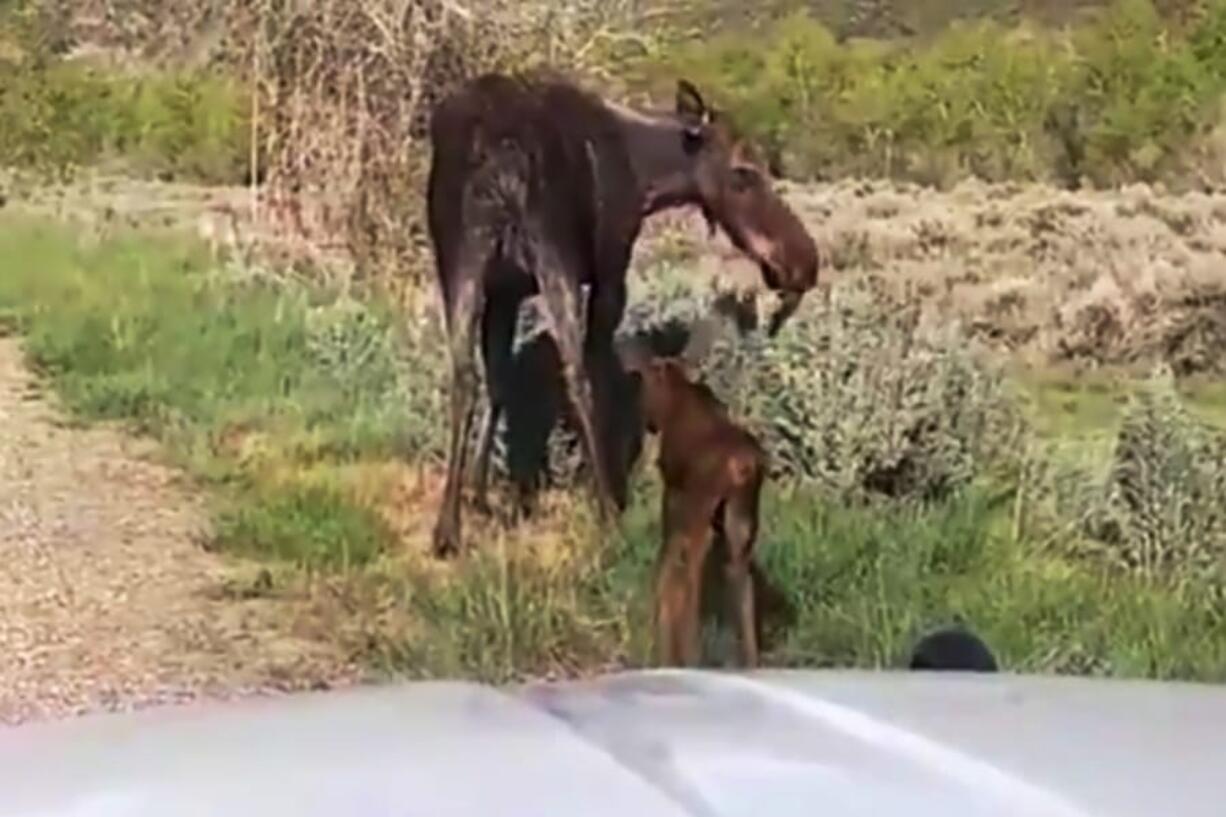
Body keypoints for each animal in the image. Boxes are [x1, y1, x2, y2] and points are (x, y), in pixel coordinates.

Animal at [426, 71, 818, 554]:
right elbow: (598, 374)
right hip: (554, 257)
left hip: (459, 260)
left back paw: (448, 526)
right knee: (574, 374)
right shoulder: (611, 268)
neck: (646, 177)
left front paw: (479, 497)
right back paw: (606, 510)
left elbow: (497, 379)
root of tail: (495, 156)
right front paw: (612, 489)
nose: (803, 262)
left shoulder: (506, 289)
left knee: (463, 375)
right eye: (743, 172)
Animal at [617, 318, 769, 667]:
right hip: (742, 514)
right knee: (739, 575)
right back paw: (749, 661)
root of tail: (744, 466)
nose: (648, 422)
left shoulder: (674, 494)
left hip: (703, 507)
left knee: (692, 576)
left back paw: (690, 654)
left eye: (644, 383)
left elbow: (667, 566)